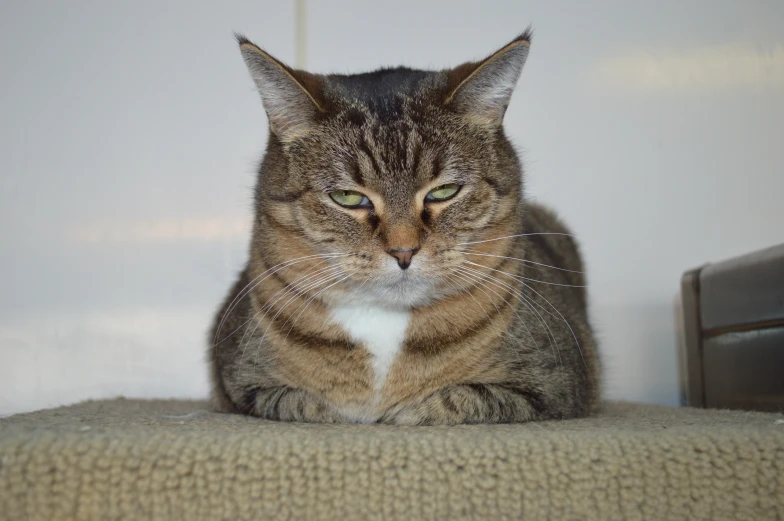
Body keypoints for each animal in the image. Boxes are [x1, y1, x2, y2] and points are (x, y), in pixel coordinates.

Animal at [208, 30, 600, 424]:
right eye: (348, 197)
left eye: (444, 191)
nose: (403, 251)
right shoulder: (240, 383)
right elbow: (302, 403)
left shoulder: (556, 384)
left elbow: (456, 400)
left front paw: (402, 411)